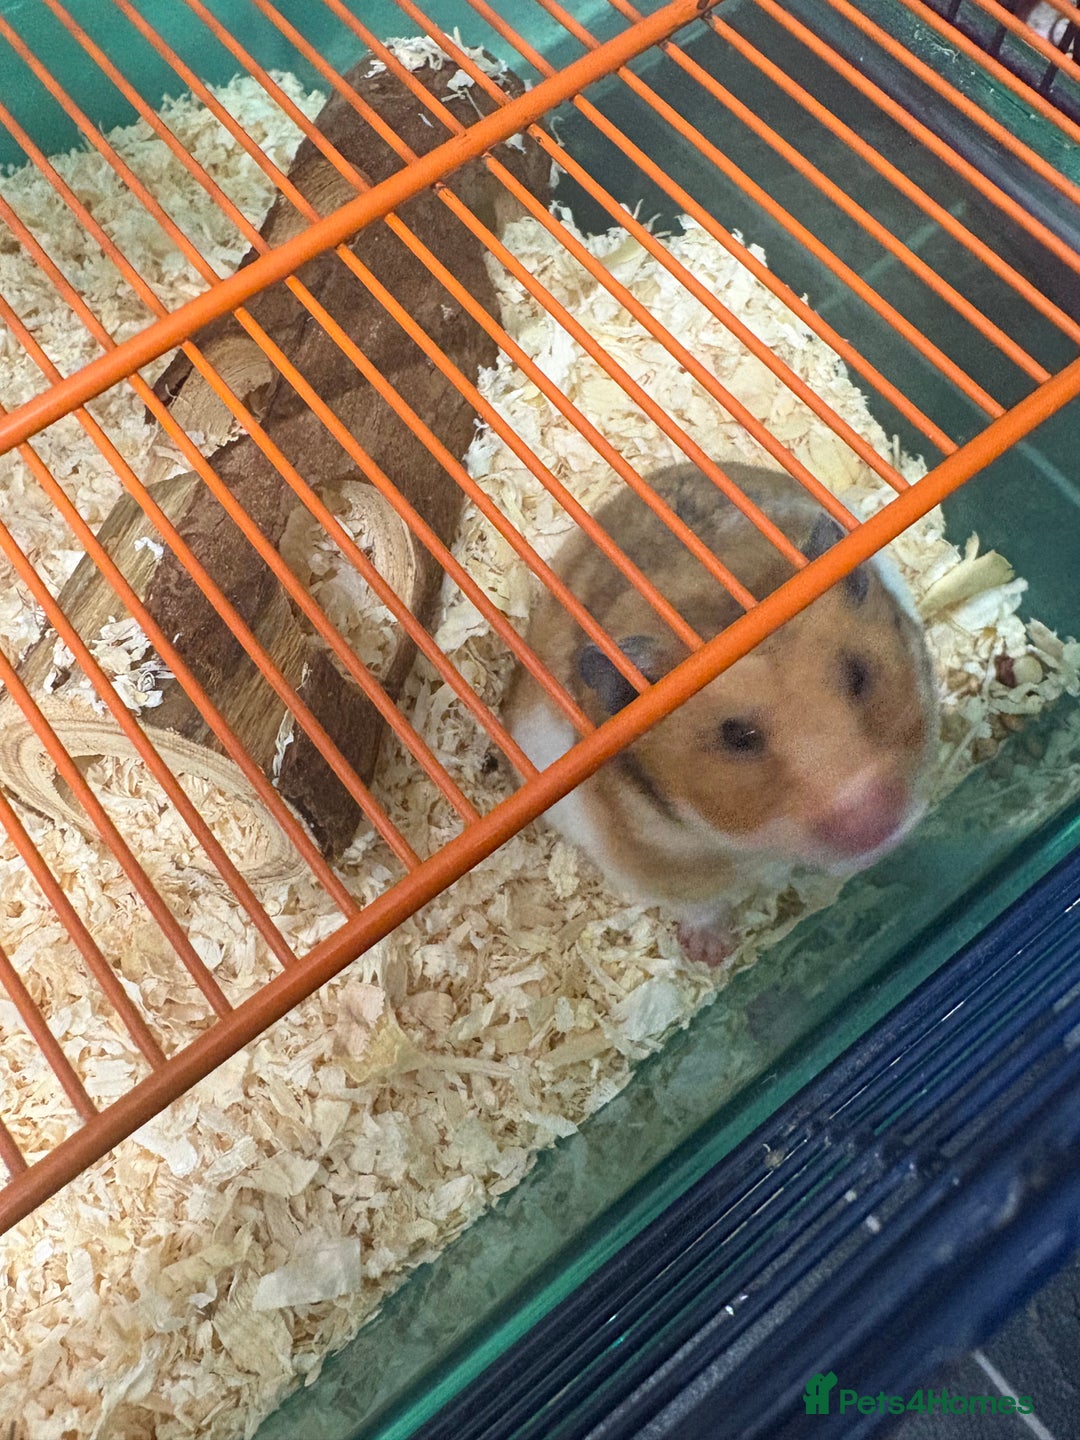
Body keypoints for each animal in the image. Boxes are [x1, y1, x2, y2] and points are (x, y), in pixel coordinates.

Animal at [505, 462, 938, 965]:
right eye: (736, 735)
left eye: (859, 676)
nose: (875, 823)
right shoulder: (658, 868)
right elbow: (701, 907)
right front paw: (709, 956)